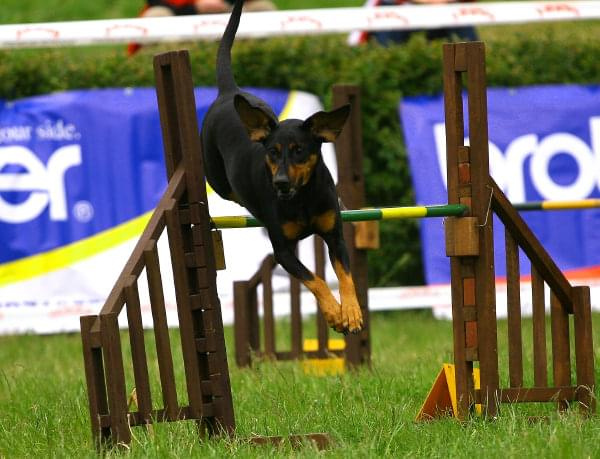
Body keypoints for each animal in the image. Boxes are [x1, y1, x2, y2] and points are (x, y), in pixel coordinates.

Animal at [200, 0, 360, 332]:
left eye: (300, 151)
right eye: (272, 153)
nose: (281, 183)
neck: (302, 198)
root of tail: (228, 92)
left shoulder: (335, 235)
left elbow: (345, 276)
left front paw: (351, 313)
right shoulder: (283, 250)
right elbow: (315, 280)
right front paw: (334, 314)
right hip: (217, 178)